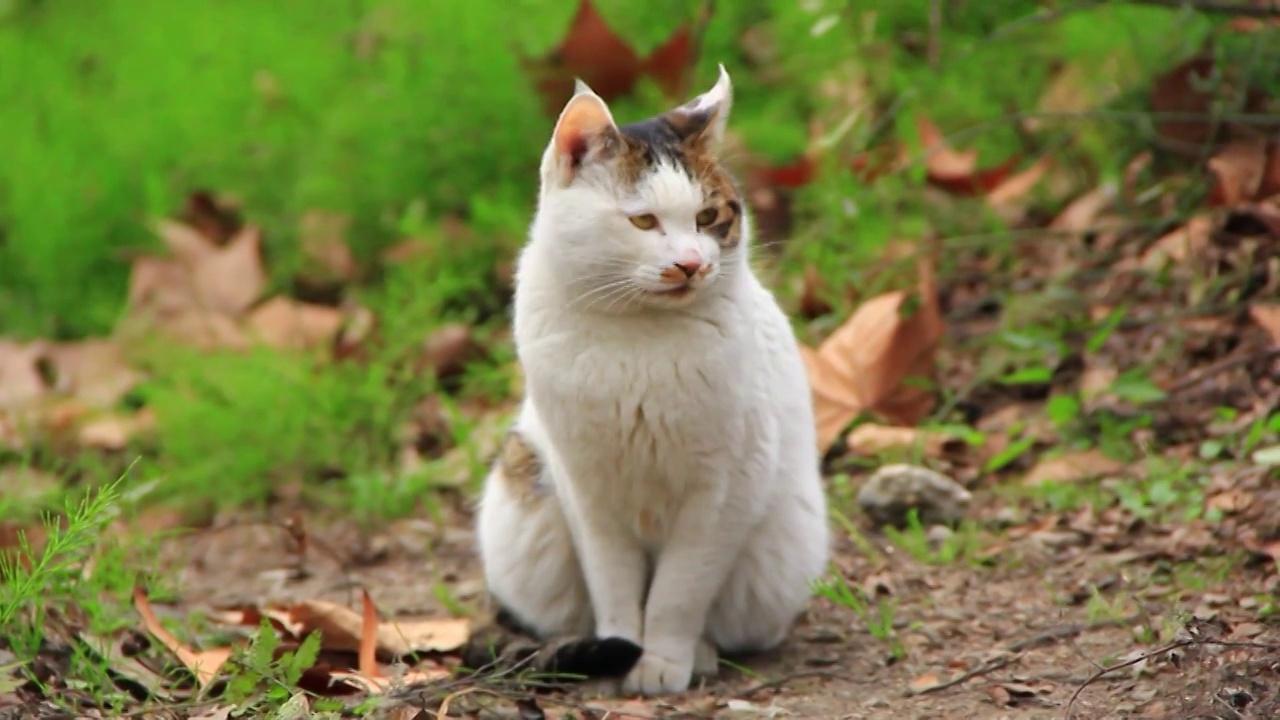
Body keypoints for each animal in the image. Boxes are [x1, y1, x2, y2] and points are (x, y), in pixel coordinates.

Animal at [471, 67, 829, 696]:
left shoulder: (725, 490)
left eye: (709, 218)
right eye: (643, 220)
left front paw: (661, 659)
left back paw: (701, 654)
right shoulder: (585, 490)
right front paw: (622, 647)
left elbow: (679, 591)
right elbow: (613, 584)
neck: (638, 340)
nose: (691, 263)